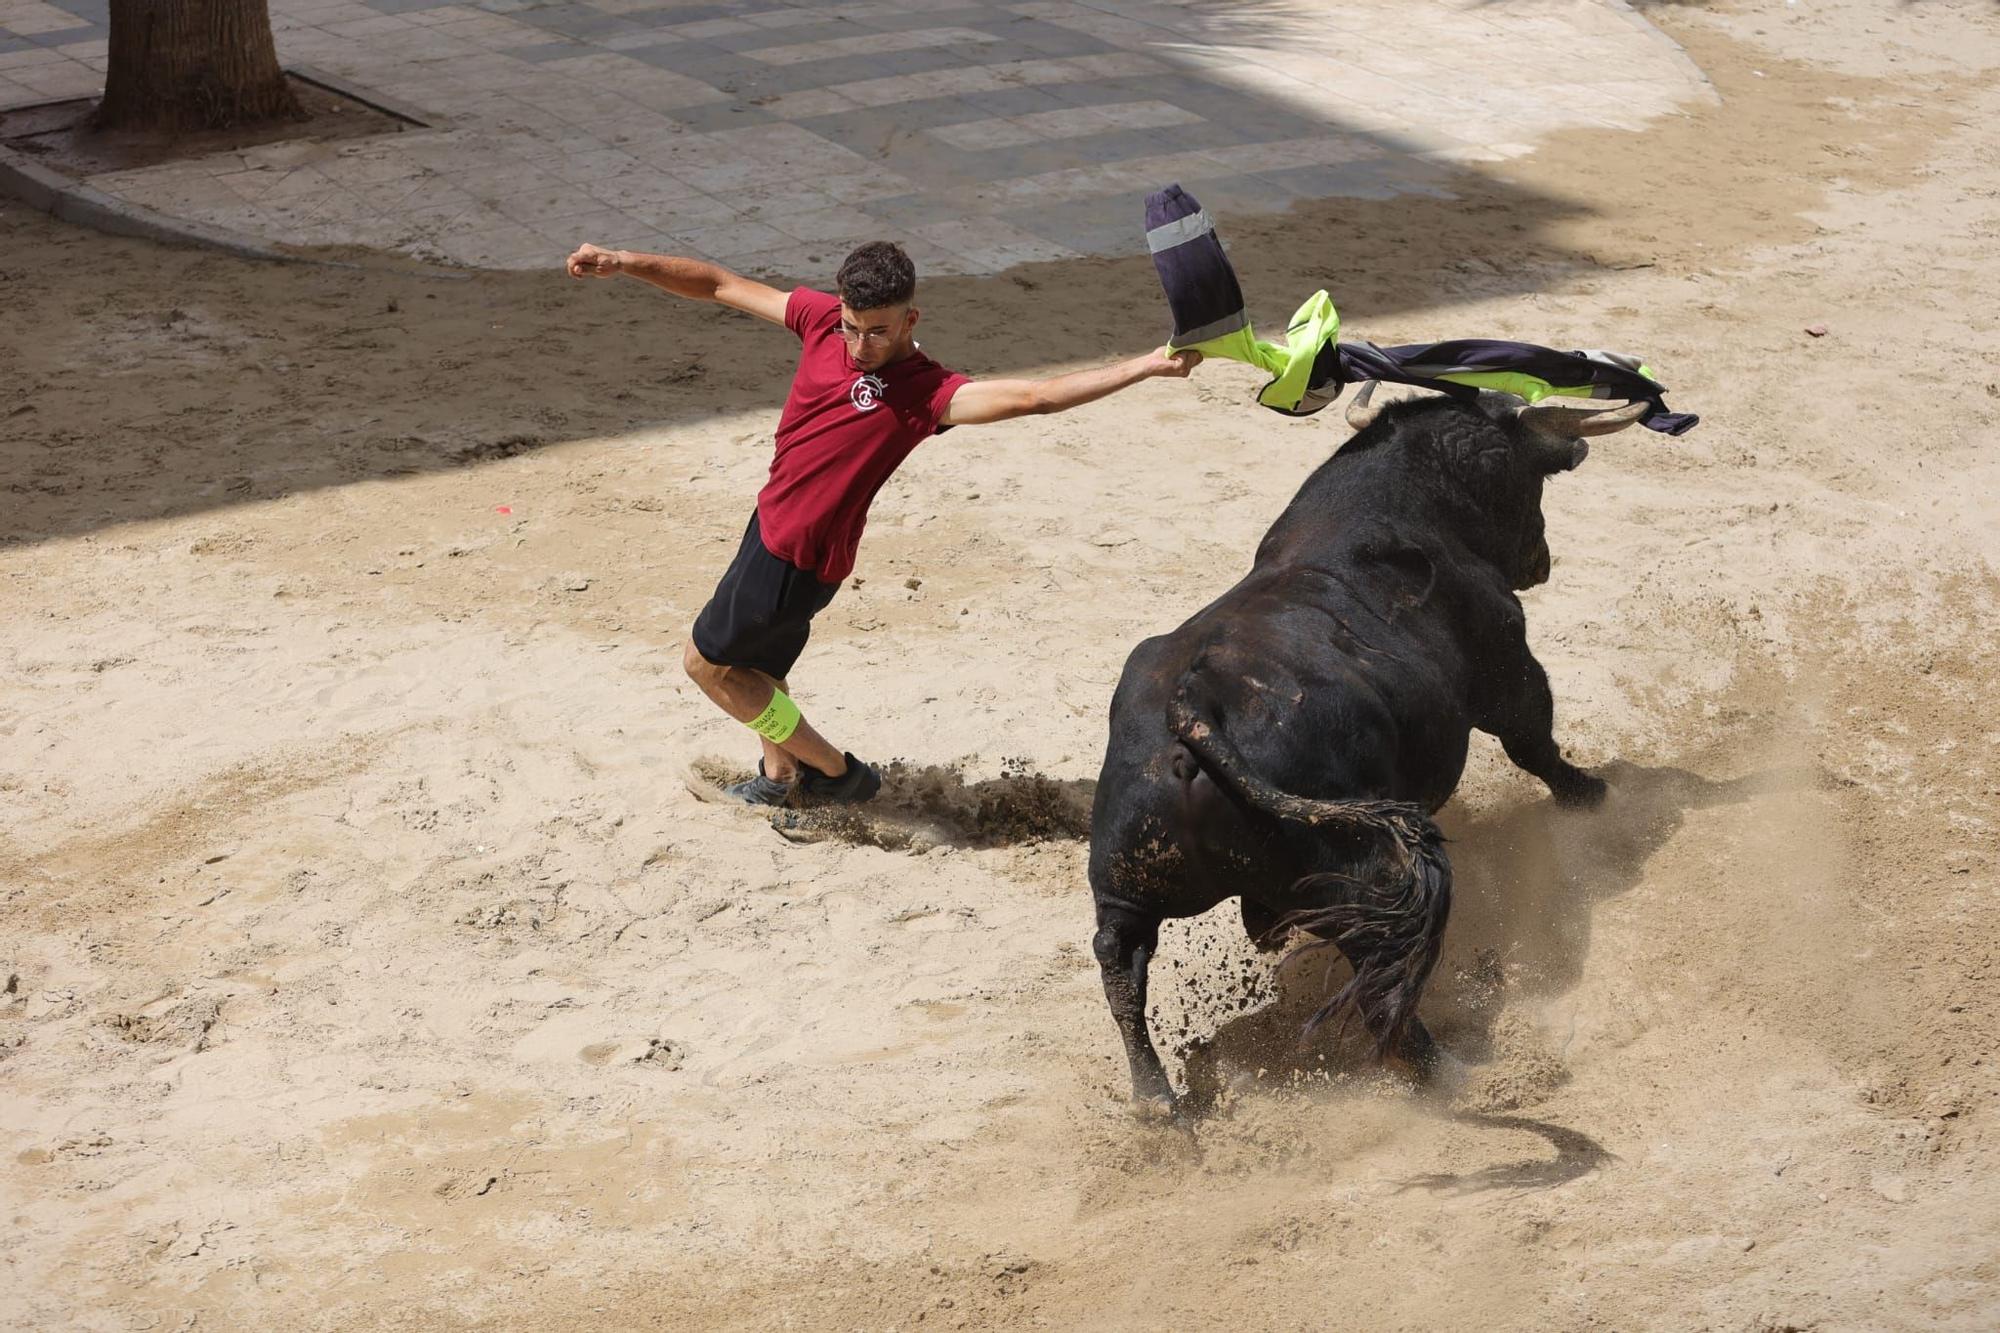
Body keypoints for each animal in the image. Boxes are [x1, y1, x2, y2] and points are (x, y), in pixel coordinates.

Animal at [1088, 386, 1648, 1112]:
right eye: (1531, 481)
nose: (1542, 560)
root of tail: (1195, 706)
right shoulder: (1508, 667)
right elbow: (1536, 744)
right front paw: (1593, 794)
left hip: (1125, 877)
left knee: (1119, 959)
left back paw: (1156, 1099)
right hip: (1356, 884)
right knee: (1385, 977)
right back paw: (1450, 1072)